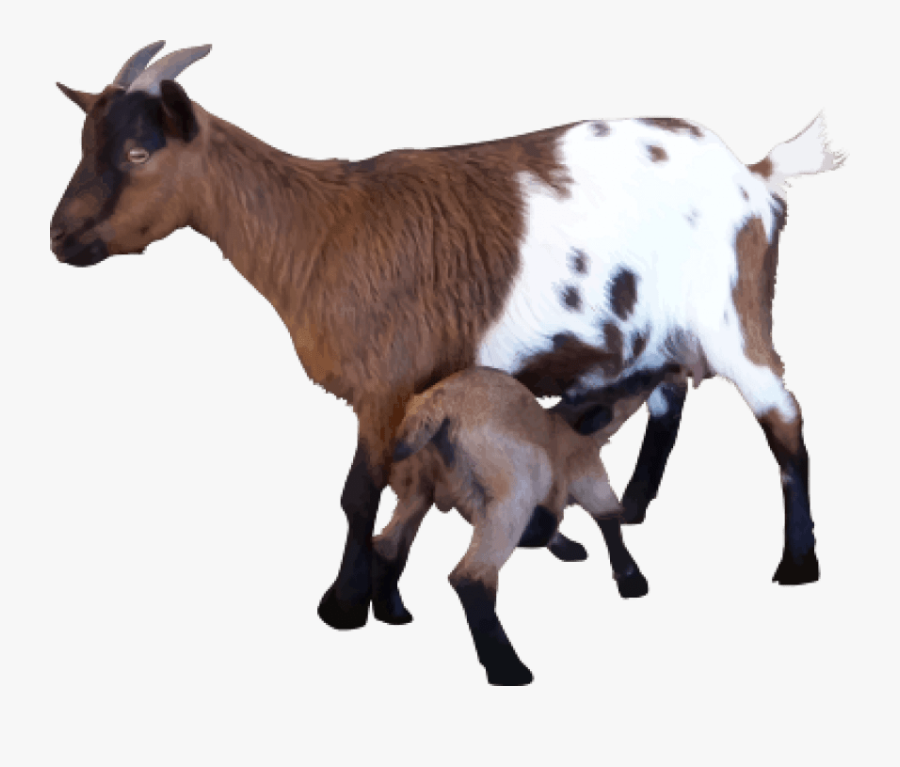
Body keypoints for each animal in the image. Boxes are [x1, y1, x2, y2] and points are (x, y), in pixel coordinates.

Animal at [51, 42, 842, 638]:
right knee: (669, 397)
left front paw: (345, 605)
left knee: (784, 420)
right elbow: (407, 490)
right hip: (662, 327)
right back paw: (636, 507)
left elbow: (358, 494)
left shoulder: (386, 386)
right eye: (87, 143)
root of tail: (755, 176)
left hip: (735, 317)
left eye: (139, 152)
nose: (60, 238)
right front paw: (386, 596)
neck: (318, 231)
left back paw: (797, 563)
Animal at [380, 367, 631, 685]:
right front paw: (632, 580)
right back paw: (508, 668)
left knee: (388, 544)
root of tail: (437, 405)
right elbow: (609, 515)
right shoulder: (588, 476)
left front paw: (564, 546)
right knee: (470, 575)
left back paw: (392, 611)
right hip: (510, 496)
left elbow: (553, 523)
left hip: (416, 487)